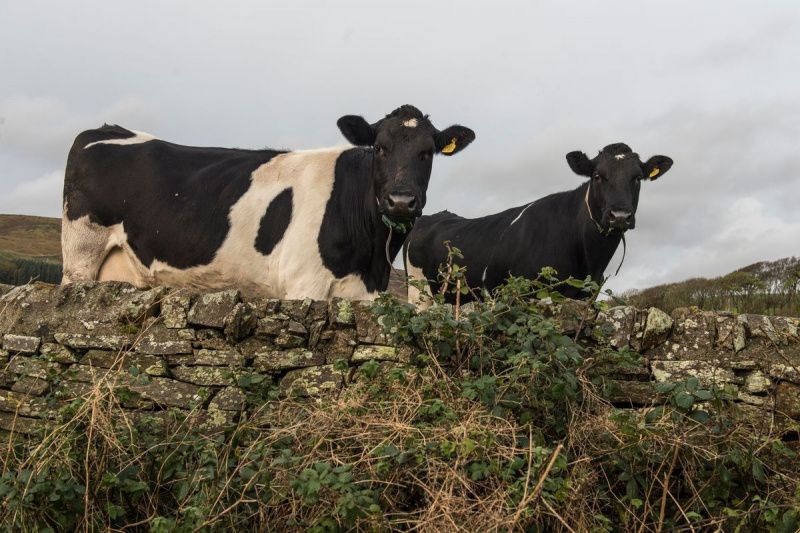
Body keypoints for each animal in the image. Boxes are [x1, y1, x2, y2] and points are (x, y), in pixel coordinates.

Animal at [61, 105, 475, 300]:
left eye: (427, 152)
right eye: (380, 147)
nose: (401, 200)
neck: (370, 259)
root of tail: (108, 129)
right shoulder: (303, 285)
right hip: (80, 256)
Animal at [404, 143, 672, 306]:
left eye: (637, 178)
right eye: (597, 176)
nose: (619, 216)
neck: (589, 259)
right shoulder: (530, 295)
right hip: (418, 292)